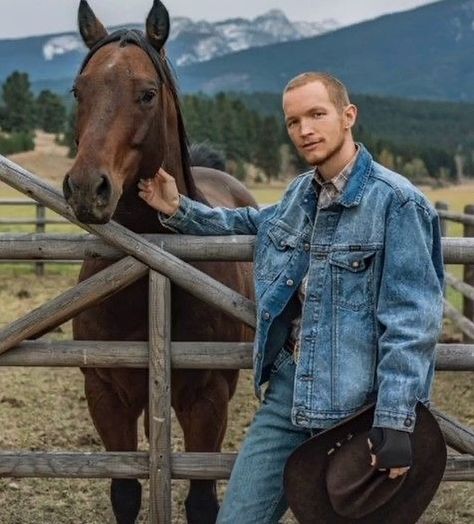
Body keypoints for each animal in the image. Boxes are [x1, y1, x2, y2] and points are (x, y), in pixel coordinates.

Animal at [64, 2, 256, 520]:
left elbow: (203, 499)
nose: (86, 187)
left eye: (147, 94)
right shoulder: (106, 392)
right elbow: (126, 491)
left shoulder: (207, 395)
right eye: (78, 91)